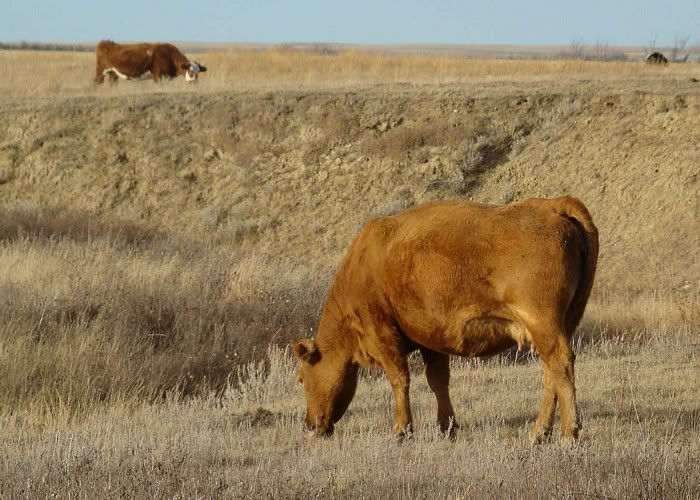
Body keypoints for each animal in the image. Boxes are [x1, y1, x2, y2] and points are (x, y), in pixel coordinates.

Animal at [292, 196, 598, 443]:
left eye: (301, 378)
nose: (308, 426)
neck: (360, 268)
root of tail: (551, 204)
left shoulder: (382, 337)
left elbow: (399, 380)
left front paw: (401, 430)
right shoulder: (430, 340)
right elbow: (438, 381)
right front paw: (447, 427)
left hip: (543, 325)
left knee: (561, 365)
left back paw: (568, 434)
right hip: (554, 328)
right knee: (551, 375)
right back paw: (539, 433)